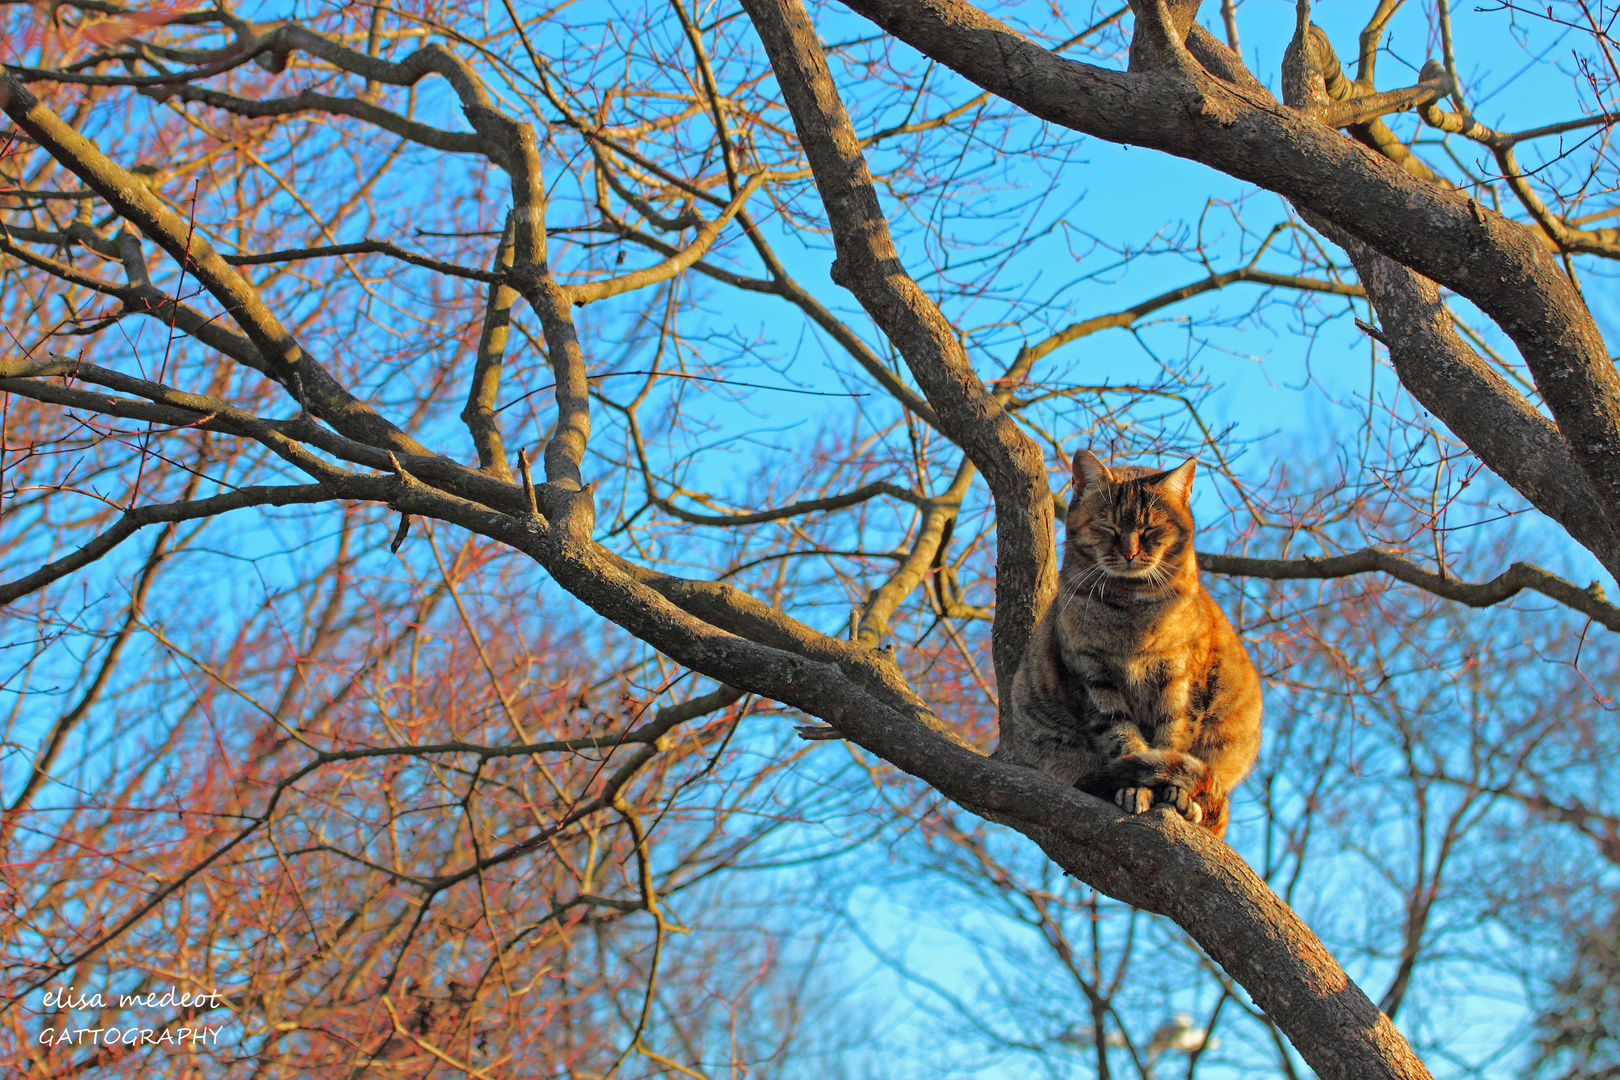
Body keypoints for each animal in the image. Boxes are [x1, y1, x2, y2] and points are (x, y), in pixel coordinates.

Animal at [984, 446, 1263, 835]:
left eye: (1151, 529)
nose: (1130, 553)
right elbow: (1123, 741)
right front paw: (1134, 789)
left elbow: (1172, 736)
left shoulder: (1180, 679)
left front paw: (1172, 793)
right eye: (1108, 527)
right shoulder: (1093, 678)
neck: (1132, 608)